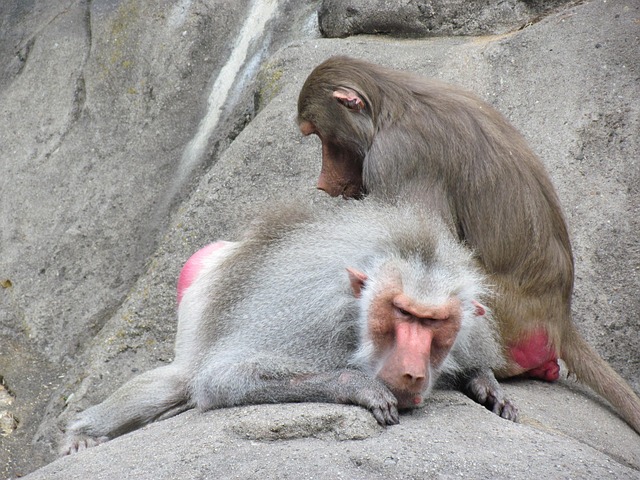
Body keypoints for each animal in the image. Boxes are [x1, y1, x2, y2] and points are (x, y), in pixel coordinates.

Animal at [60, 200, 515, 454]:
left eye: (433, 321)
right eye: (402, 313)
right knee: (178, 380)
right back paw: (83, 435)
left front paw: (484, 382)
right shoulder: (307, 319)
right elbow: (224, 378)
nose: (413, 372)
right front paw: (359, 386)